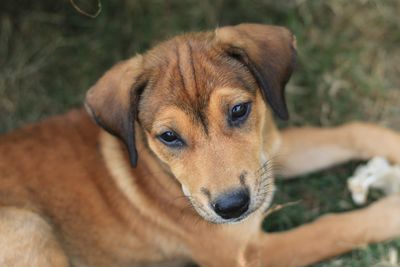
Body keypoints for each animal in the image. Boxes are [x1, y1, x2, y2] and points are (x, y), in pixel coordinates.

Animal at [0, 23, 400, 267]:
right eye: (168, 137)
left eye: (239, 110)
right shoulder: (249, 253)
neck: (156, 170)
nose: (232, 207)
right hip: (28, 226)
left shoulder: (268, 151)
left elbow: (353, 132)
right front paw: (391, 211)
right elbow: (334, 227)